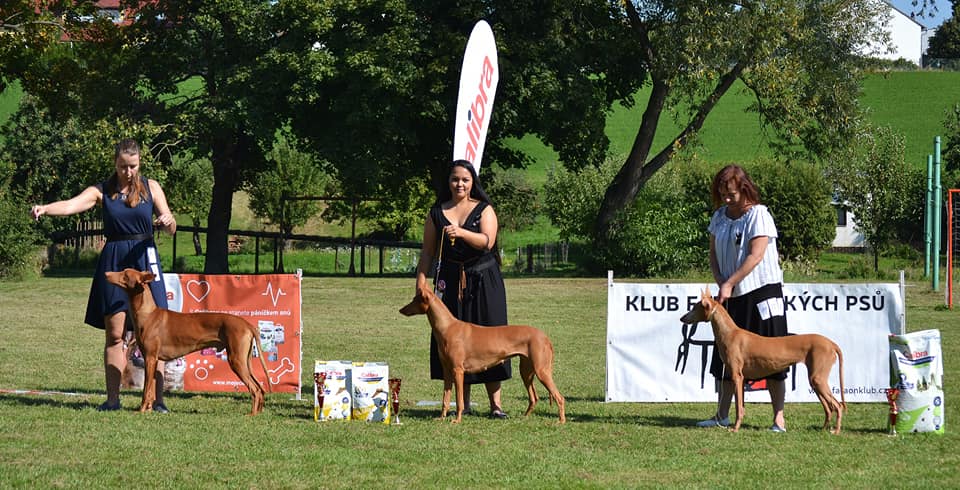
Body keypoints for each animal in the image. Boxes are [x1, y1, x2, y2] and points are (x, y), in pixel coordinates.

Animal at [105, 268, 272, 415]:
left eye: (125, 274)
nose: (106, 273)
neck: (148, 313)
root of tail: (247, 324)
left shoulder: (150, 358)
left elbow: (146, 390)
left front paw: (141, 411)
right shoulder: (152, 359)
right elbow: (151, 390)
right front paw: (149, 410)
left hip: (236, 360)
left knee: (255, 389)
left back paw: (251, 415)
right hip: (245, 361)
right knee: (260, 388)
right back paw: (258, 413)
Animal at [399, 284, 565, 424]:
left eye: (414, 300)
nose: (401, 310)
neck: (447, 327)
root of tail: (545, 336)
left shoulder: (458, 371)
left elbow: (459, 400)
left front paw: (457, 420)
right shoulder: (447, 371)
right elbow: (445, 398)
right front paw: (441, 418)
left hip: (541, 371)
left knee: (560, 397)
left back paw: (561, 421)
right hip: (526, 372)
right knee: (534, 397)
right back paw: (525, 417)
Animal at [680, 289, 846, 433]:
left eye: (694, 308)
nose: (682, 318)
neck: (730, 333)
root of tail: (831, 343)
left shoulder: (737, 376)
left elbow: (739, 407)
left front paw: (735, 429)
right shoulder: (737, 377)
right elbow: (740, 406)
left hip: (818, 379)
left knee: (837, 406)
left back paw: (836, 431)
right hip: (815, 380)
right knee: (828, 408)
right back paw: (823, 429)